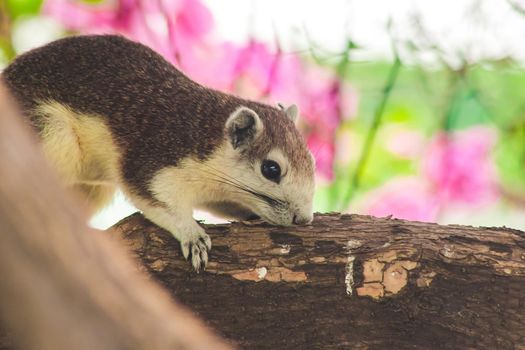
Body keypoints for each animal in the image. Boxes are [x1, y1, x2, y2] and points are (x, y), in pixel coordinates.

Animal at [2, 34, 314, 270]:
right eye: (271, 169)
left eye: (311, 160)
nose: (304, 220)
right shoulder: (151, 164)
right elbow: (162, 205)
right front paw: (192, 235)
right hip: (50, 133)